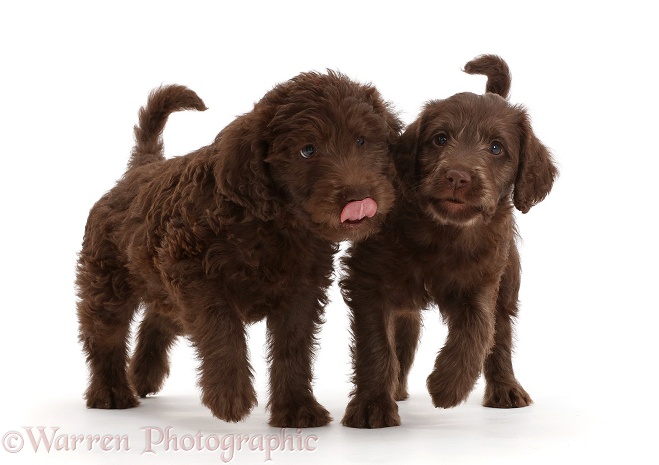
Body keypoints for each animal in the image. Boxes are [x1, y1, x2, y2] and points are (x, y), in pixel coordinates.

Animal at [75, 73, 400, 428]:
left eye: (361, 141)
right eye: (307, 150)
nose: (360, 198)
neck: (274, 223)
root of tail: (140, 170)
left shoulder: (302, 290)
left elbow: (293, 348)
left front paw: (297, 408)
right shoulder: (193, 272)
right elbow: (222, 330)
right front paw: (230, 396)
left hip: (159, 285)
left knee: (158, 319)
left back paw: (143, 376)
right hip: (107, 281)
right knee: (106, 335)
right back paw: (111, 392)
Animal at [342, 55, 560, 428]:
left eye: (497, 148)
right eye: (440, 139)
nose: (457, 176)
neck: (441, 230)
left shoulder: (483, 279)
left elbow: (477, 330)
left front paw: (447, 386)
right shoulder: (368, 279)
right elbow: (376, 345)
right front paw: (372, 405)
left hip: (508, 283)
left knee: (500, 334)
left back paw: (506, 389)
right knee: (404, 337)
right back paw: (395, 389)